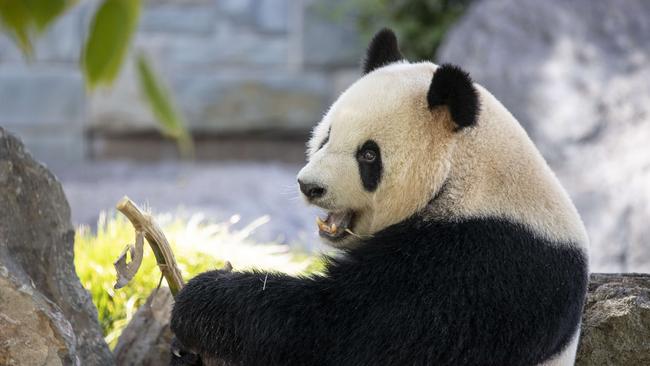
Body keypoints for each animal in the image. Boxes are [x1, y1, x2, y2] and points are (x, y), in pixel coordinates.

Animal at [170, 29, 588, 366]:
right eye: (326, 136)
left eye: (369, 155)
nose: (310, 186)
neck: (463, 176)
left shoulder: (483, 264)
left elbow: (344, 330)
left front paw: (201, 300)